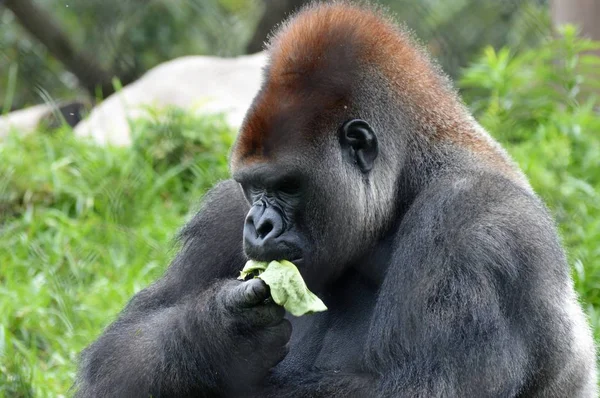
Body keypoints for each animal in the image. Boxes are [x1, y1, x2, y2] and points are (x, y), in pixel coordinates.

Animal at [74, 1, 596, 396]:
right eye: (253, 187)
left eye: (288, 187)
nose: (259, 224)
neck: (409, 179)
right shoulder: (225, 211)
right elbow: (116, 359)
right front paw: (221, 333)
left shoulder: (474, 223)